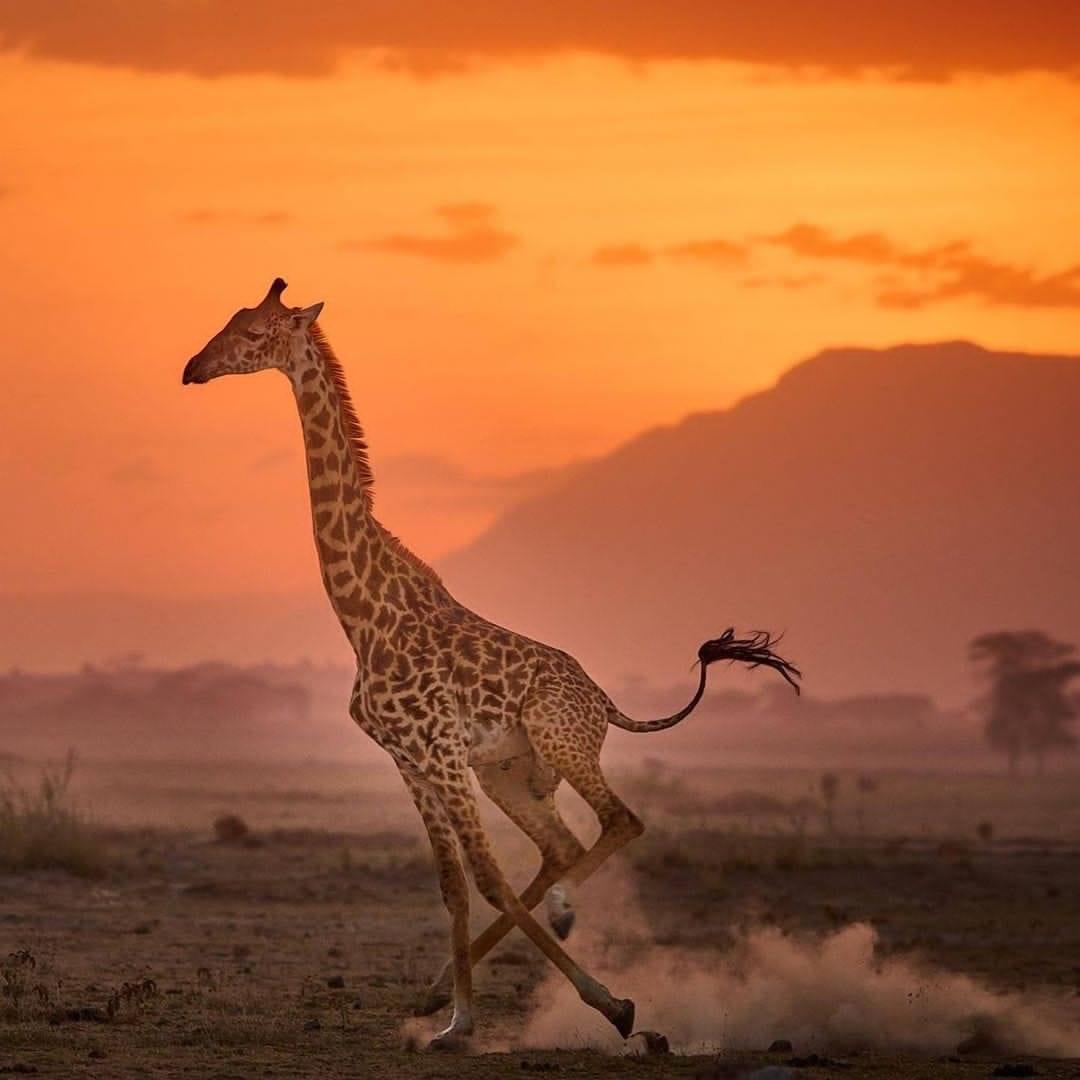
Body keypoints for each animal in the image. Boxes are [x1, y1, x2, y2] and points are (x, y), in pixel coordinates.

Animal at [182, 279, 801, 1048]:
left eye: (256, 332)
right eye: (231, 320)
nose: (193, 369)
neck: (361, 615)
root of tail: (604, 701)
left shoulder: (442, 750)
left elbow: (487, 877)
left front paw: (601, 1007)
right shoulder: (410, 759)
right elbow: (455, 884)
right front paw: (455, 1018)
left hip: (560, 742)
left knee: (619, 822)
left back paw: (570, 933)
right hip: (510, 771)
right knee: (562, 844)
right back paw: (454, 978)